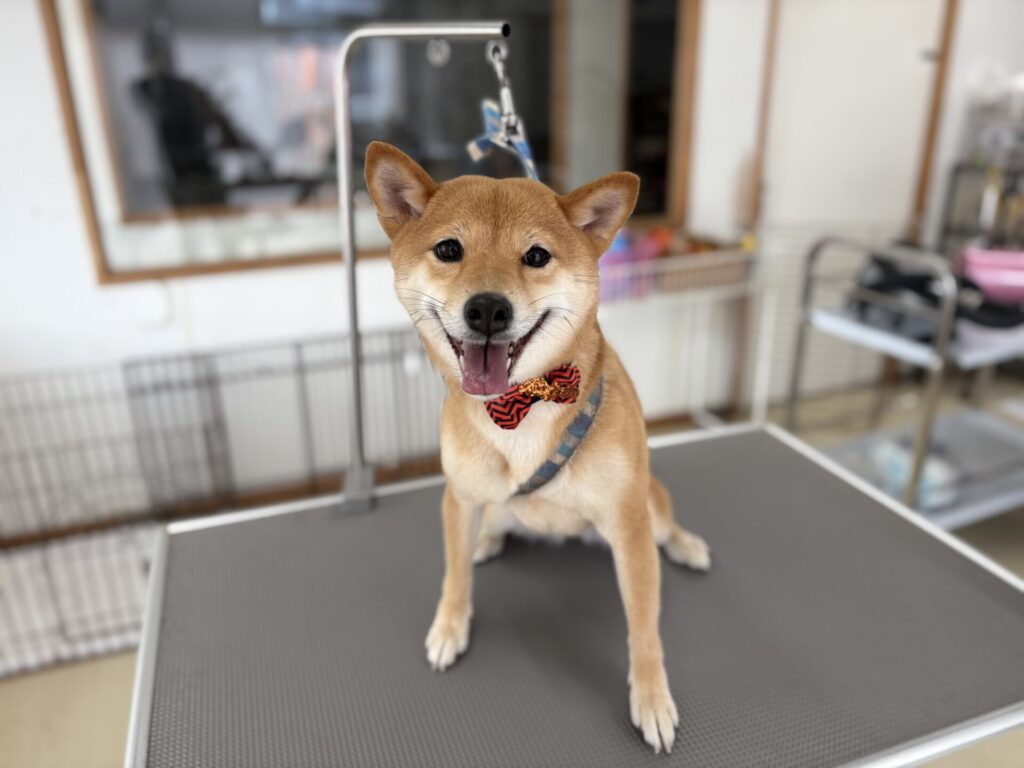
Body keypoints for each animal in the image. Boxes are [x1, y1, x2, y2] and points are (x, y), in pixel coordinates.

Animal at [365, 141, 710, 754]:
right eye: (449, 249)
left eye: (536, 256)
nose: (487, 309)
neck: (520, 408)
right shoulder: (459, 497)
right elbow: (454, 574)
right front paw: (450, 624)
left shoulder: (628, 524)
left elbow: (644, 626)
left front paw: (651, 697)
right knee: (485, 530)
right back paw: (485, 540)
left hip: (648, 507)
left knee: (667, 528)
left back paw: (687, 546)